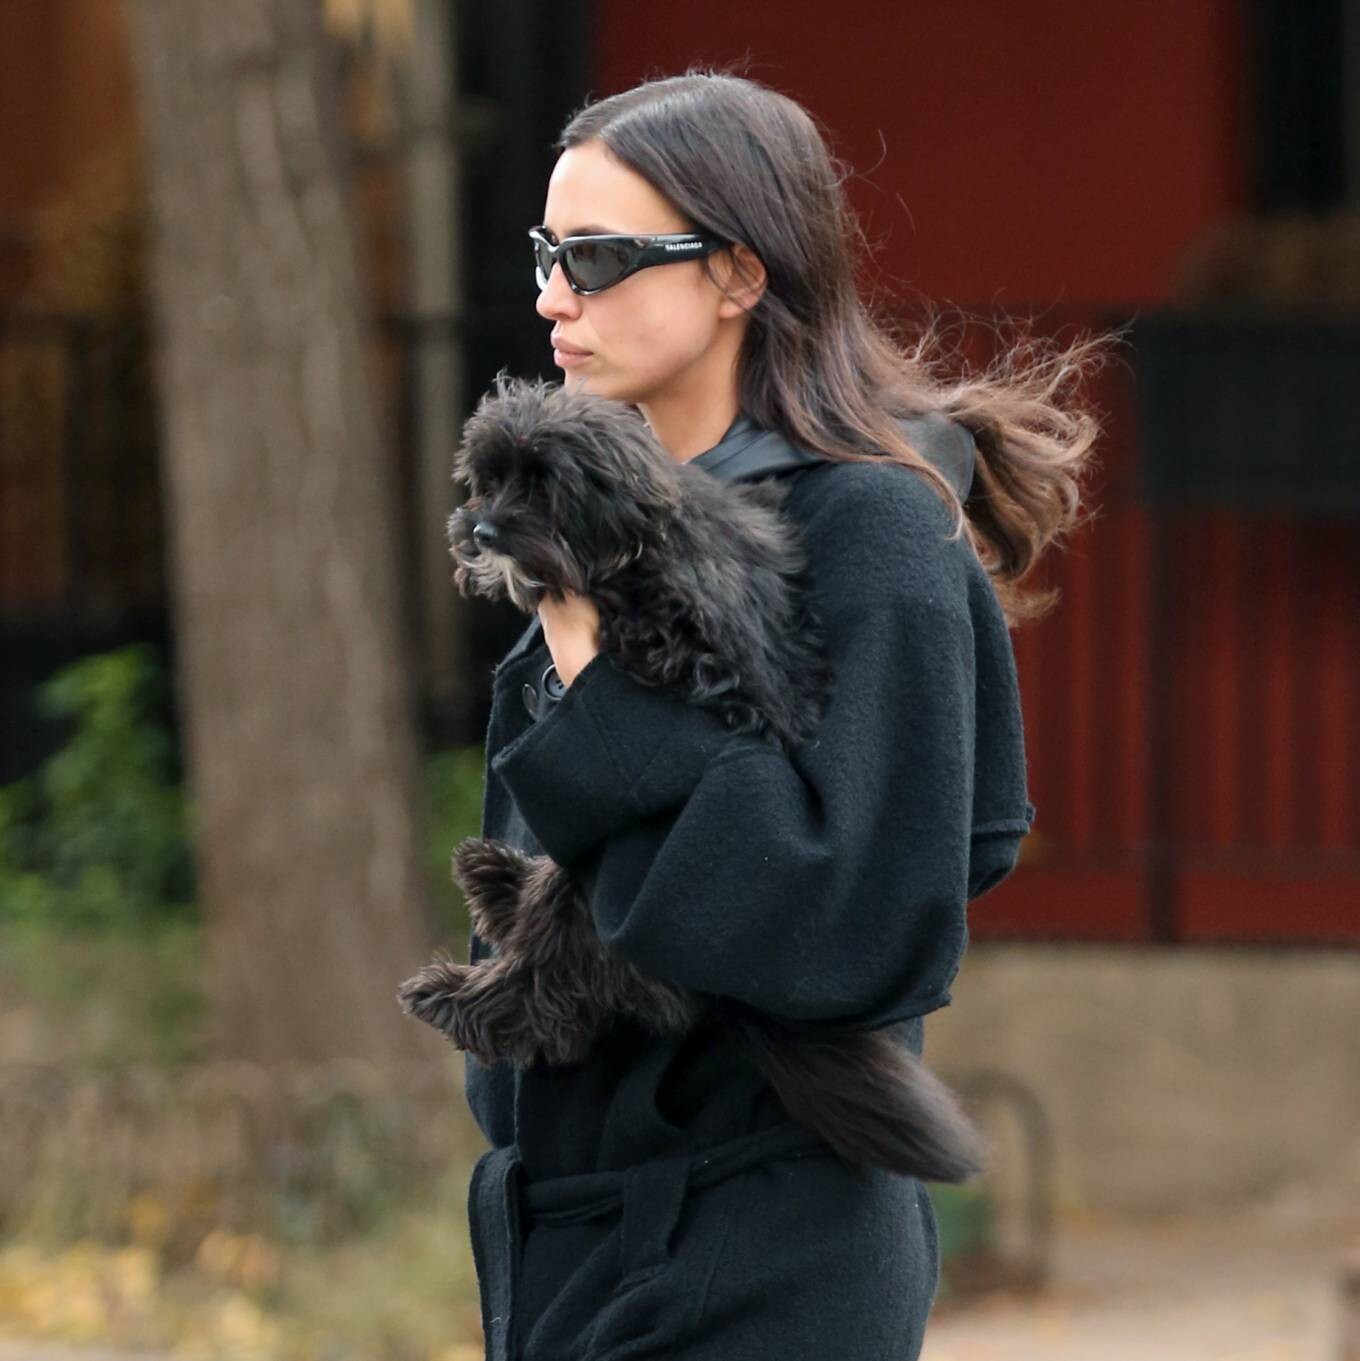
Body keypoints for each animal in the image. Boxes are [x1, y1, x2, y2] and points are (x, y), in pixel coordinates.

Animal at [396, 374, 987, 1183]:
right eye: (488, 480)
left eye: (543, 486)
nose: (482, 531)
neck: (642, 540)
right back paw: (497, 878)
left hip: (597, 906)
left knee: (552, 995)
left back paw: (462, 993)